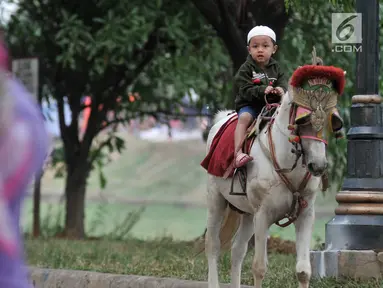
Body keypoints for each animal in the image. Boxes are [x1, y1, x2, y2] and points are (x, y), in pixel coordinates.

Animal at [202, 86, 332, 288]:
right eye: (302, 120)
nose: (318, 165)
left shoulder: (305, 215)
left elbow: (303, 270)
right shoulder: (263, 215)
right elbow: (259, 267)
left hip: (248, 214)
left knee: (237, 250)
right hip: (216, 201)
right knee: (212, 245)